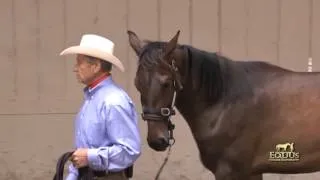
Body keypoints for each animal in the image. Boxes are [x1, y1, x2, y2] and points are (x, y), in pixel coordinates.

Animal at [127, 30, 320, 179]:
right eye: (137, 84)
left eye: (166, 83)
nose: (157, 140)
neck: (223, 101)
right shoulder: (252, 172)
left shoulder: (230, 171)